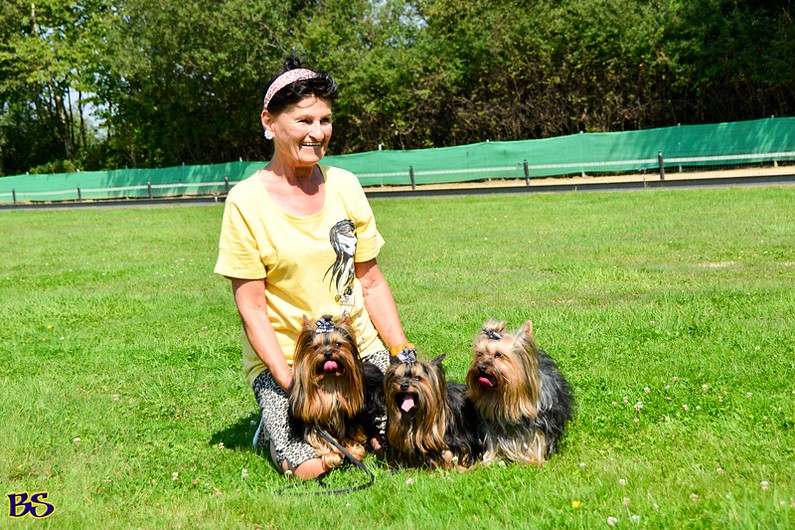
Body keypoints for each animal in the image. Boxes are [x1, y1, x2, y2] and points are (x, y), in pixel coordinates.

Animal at [288, 314, 384, 469]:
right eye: (316, 347)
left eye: (338, 344)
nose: (328, 353)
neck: (330, 381)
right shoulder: (313, 420)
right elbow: (320, 438)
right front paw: (331, 456)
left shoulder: (352, 414)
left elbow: (350, 433)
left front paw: (354, 452)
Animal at [466, 318, 573, 466]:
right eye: (480, 354)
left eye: (499, 355)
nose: (481, 367)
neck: (505, 397)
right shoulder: (492, 424)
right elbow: (493, 439)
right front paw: (489, 459)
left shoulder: (539, 422)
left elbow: (536, 438)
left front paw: (533, 460)